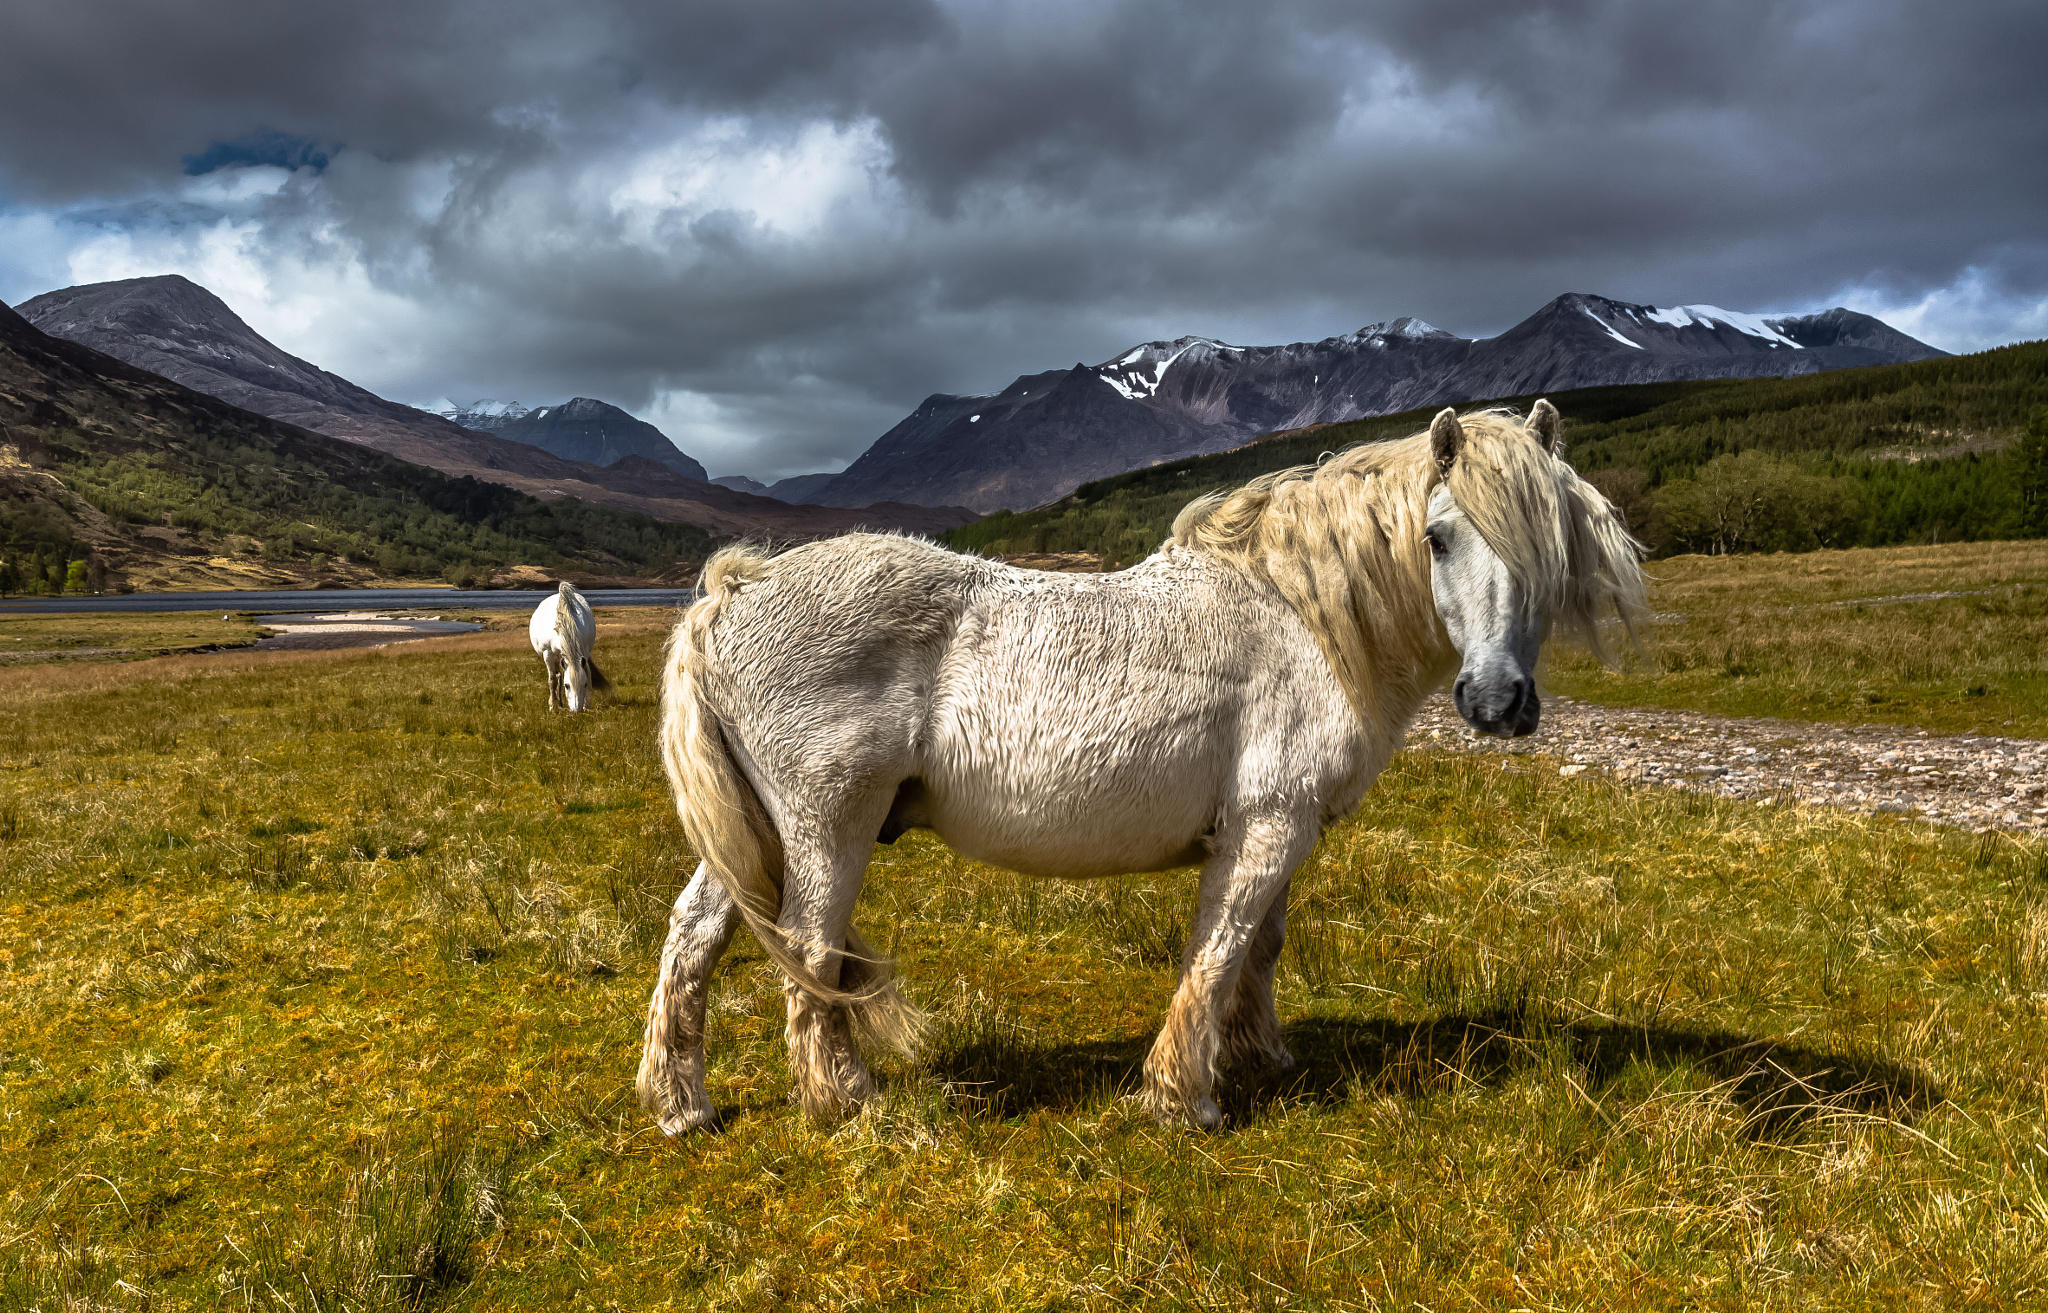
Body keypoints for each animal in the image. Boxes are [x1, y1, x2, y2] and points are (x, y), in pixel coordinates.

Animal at [524, 581, 602, 712]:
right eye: (567, 686)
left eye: (585, 684)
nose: (576, 710)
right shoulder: (548, 654)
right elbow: (552, 680)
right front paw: (552, 706)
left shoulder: (584, 651)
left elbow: (587, 673)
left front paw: (587, 705)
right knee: (557, 676)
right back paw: (557, 703)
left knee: (559, 675)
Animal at [638, 399, 1646, 1130]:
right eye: (1439, 536)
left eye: (1554, 540)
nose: (1498, 701)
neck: (1298, 619)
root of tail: (733, 591)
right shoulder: (1268, 825)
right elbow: (1220, 948)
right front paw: (1184, 1097)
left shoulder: (1284, 826)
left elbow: (1262, 949)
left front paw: (1262, 1057)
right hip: (826, 829)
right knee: (809, 953)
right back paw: (845, 1100)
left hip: (759, 833)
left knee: (694, 937)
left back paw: (683, 1105)